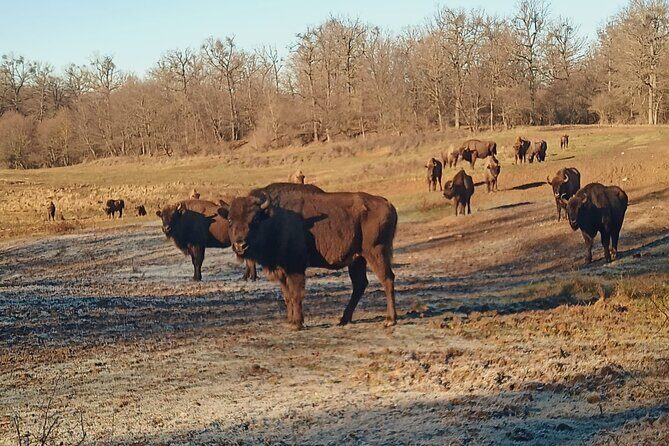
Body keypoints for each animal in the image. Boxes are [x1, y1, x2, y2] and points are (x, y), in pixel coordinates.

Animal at [222, 183, 397, 330]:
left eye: (255, 219)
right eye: (230, 220)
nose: (240, 245)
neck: (273, 218)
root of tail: (387, 203)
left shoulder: (295, 268)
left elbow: (296, 294)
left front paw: (297, 323)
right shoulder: (282, 271)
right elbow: (287, 296)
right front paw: (290, 321)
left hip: (375, 252)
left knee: (387, 279)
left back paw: (390, 320)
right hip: (357, 259)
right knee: (360, 284)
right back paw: (344, 319)